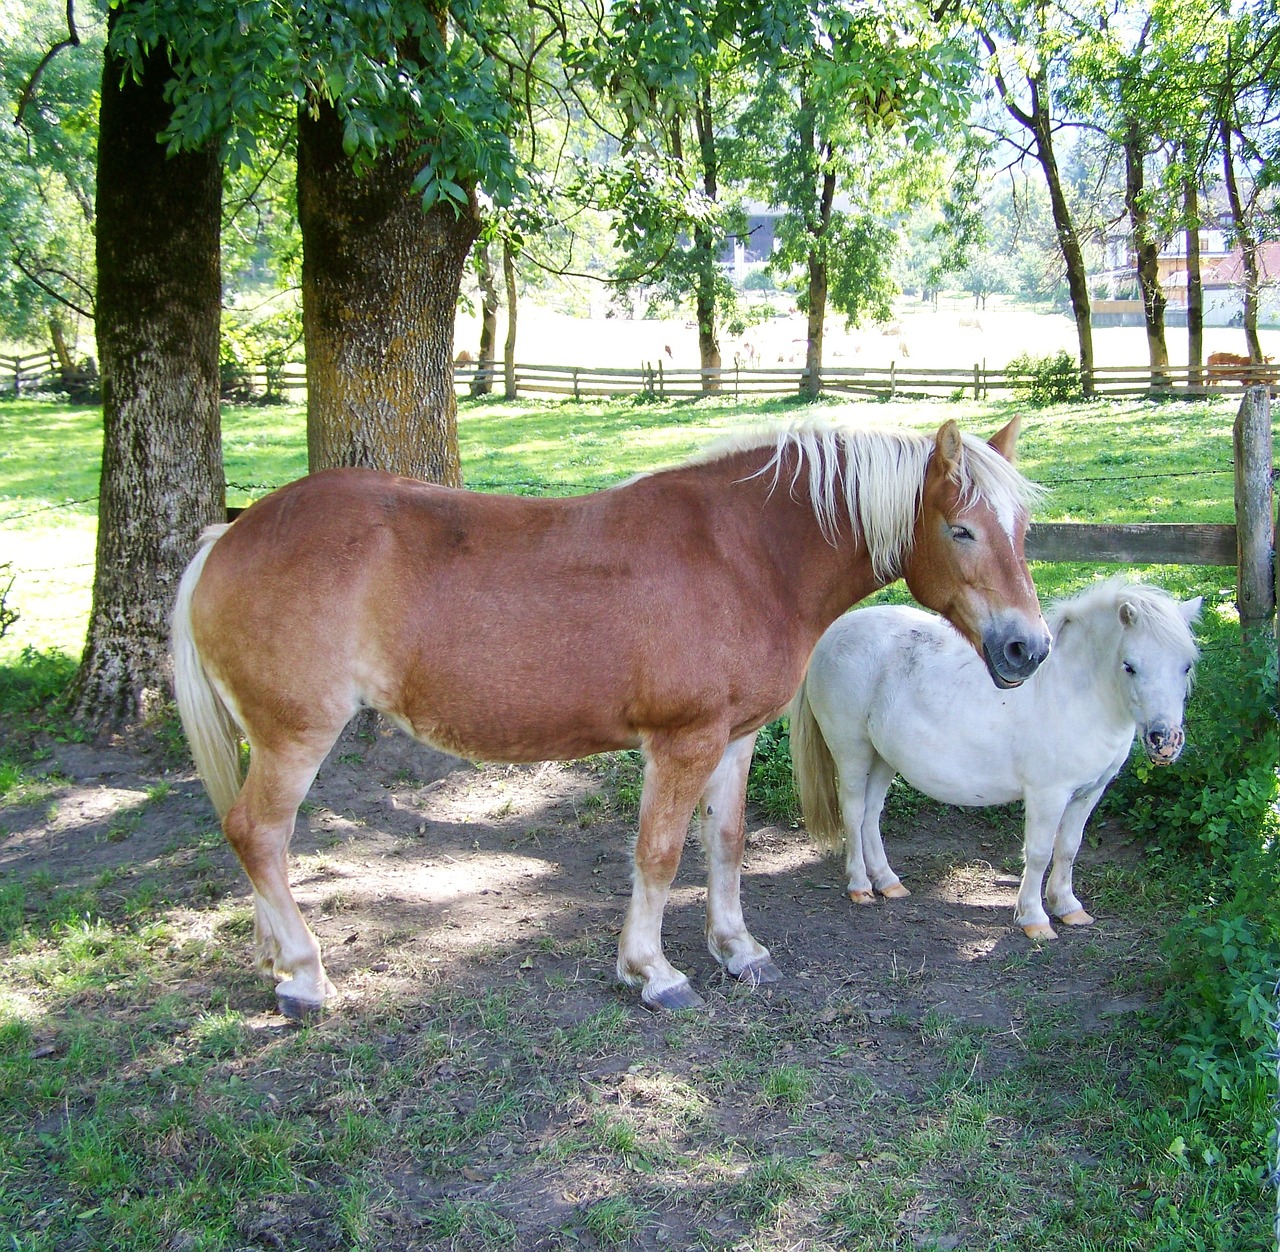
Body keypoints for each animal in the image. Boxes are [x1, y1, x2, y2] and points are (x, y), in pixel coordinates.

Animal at [172, 417, 1049, 1013]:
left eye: (1022, 530)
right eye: (960, 529)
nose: (1027, 649)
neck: (745, 555)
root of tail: (227, 536)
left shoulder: (734, 738)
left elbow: (726, 844)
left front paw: (737, 949)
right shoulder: (682, 743)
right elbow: (658, 856)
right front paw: (652, 971)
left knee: (255, 842)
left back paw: (276, 960)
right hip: (294, 738)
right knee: (259, 834)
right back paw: (305, 976)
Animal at [788, 581, 1198, 931]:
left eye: (1186, 665)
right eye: (1130, 666)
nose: (1165, 741)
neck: (1072, 692)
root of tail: (834, 631)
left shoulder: (1087, 793)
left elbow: (1068, 848)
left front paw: (1068, 907)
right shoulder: (1048, 795)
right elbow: (1039, 852)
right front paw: (1034, 918)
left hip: (883, 758)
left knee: (871, 815)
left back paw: (888, 882)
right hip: (852, 751)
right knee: (854, 812)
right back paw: (860, 885)